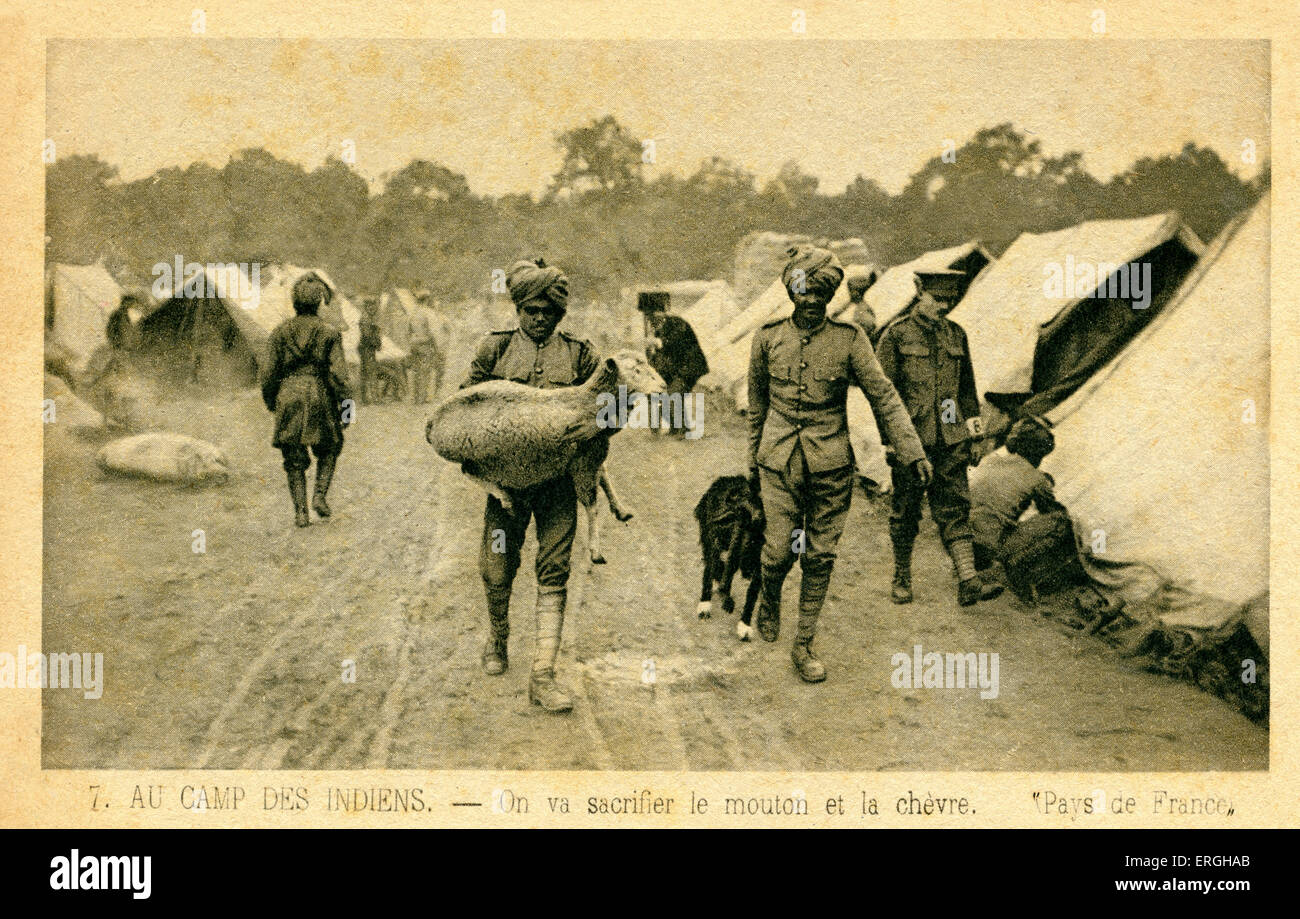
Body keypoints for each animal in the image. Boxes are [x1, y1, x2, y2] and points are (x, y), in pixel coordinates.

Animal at [426, 350, 665, 561]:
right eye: (635, 370)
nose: (663, 387)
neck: (587, 401)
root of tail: (432, 421)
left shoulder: (593, 452)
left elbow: (605, 476)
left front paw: (621, 510)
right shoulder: (583, 462)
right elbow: (592, 505)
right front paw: (595, 550)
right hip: (476, 452)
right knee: (468, 471)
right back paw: (505, 498)